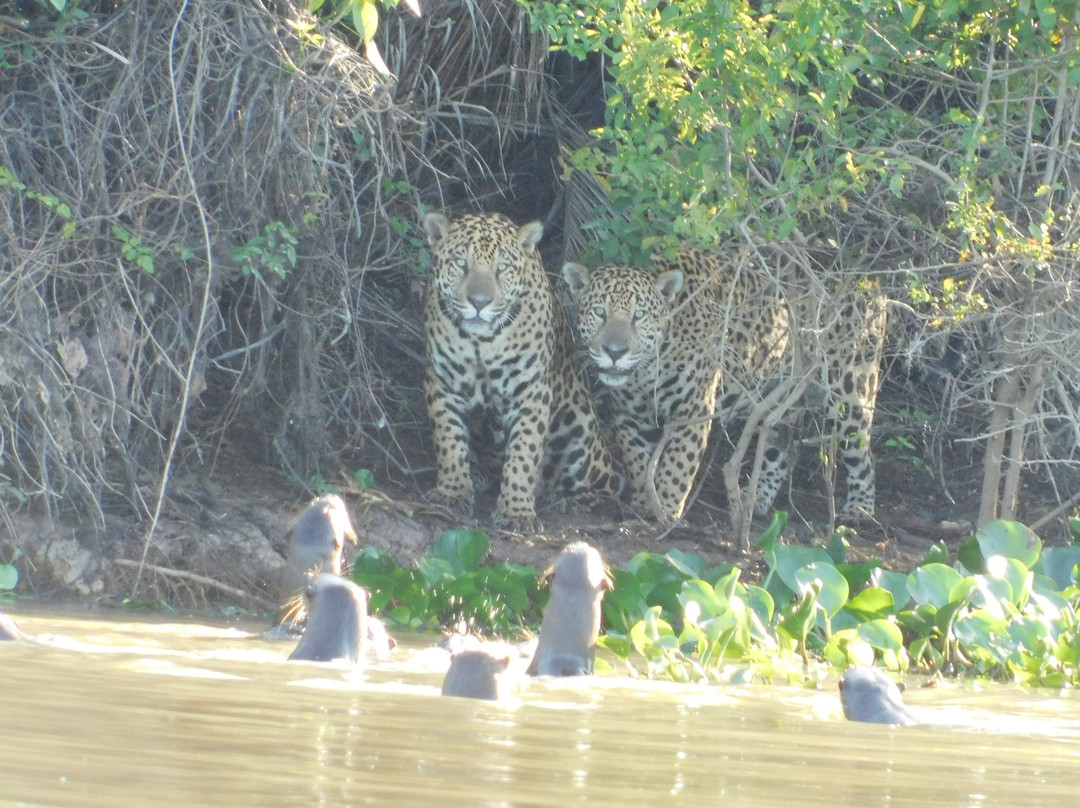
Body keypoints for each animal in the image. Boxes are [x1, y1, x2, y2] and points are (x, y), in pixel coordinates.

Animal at [421, 211, 622, 530]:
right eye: (461, 264)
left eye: (502, 268)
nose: (479, 302)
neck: (481, 341)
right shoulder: (442, 382)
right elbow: (448, 439)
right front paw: (452, 491)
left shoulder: (531, 391)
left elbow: (524, 451)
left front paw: (516, 511)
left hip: (579, 426)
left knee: (608, 484)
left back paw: (575, 502)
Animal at [562, 245, 887, 525]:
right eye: (600, 313)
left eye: (638, 316)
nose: (614, 351)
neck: (648, 369)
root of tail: (871, 284)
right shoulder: (630, 417)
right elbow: (638, 463)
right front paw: (644, 502)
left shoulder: (694, 409)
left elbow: (677, 464)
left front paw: (665, 508)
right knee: (781, 446)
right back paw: (756, 499)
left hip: (850, 391)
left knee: (863, 453)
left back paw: (858, 509)